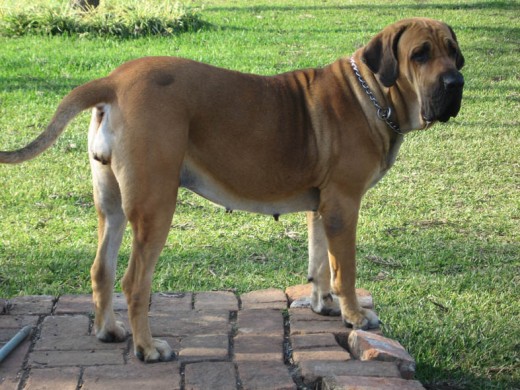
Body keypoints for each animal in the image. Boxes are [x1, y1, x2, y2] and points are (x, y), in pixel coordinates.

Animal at [0, 16, 464, 362]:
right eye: (420, 54)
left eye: (452, 52)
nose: (455, 82)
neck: (370, 92)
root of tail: (113, 81)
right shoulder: (344, 205)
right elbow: (344, 268)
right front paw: (353, 315)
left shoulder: (322, 206)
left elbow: (319, 263)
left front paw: (325, 305)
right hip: (156, 206)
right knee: (134, 283)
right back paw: (148, 348)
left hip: (110, 206)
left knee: (102, 270)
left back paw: (109, 331)